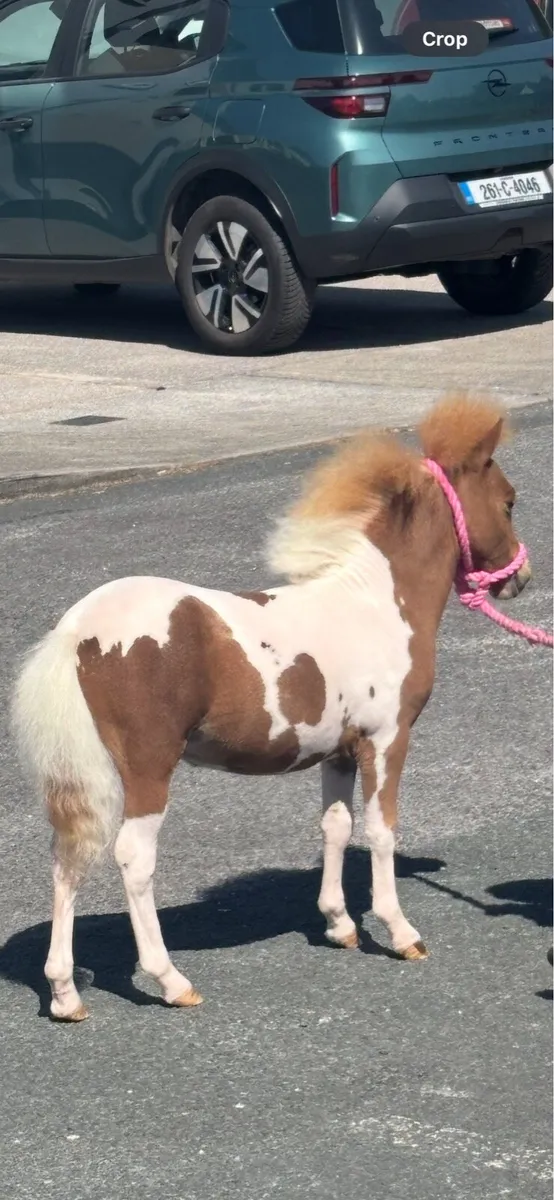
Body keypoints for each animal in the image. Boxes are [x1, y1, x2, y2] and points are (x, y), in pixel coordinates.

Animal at [11, 393, 532, 1022]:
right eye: (508, 501)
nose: (521, 577)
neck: (379, 601)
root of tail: (77, 630)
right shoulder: (387, 739)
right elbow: (381, 829)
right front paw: (400, 932)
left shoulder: (340, 749)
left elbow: (336, 826)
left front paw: (339, 925)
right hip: (148, 765)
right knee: (133, 857)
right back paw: (171, 981)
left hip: (86, 773)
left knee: (68, 858)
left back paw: (65, 994)